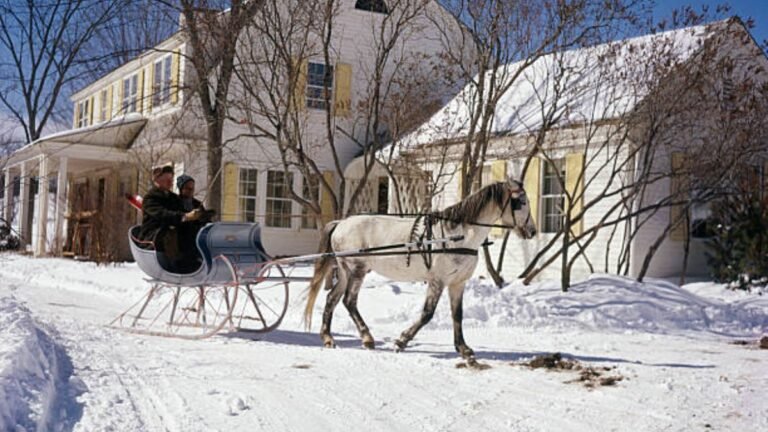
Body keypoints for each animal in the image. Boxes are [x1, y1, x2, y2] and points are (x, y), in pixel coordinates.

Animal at [304, 177, 536, 360]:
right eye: (522, 202)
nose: (532, 231)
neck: (457, 235)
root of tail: (341, 223)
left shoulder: (457, 283)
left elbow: (457, 315)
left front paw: (463, 348)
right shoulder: (437, 281)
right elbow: (427, 314)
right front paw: (402, 341)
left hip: (345, 271)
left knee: (332, 298)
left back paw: (328, 338)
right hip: (357, 269)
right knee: (349, 301)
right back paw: (367, 338)